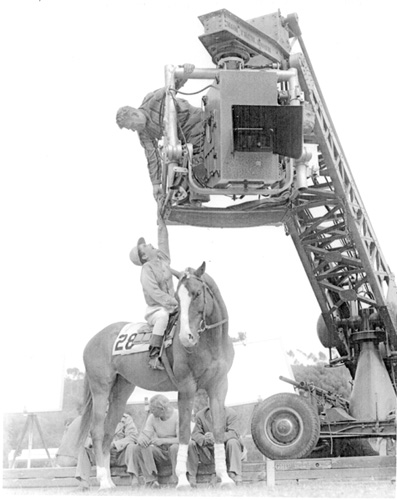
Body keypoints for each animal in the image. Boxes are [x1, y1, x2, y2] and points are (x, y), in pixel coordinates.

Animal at [77, 264, 234, 490]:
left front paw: (226, 478)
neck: (211, 343)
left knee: (108, 434)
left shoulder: (219, 387)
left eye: (197, 293)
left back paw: (109, 481)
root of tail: (92, 341)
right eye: (178, 298)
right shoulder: (186, 388)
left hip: (120, 394)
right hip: (100, 390)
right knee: (97, 432)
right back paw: (103, 481)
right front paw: (182, 480)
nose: (186, 337)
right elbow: (184, 432)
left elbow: (219, 430)